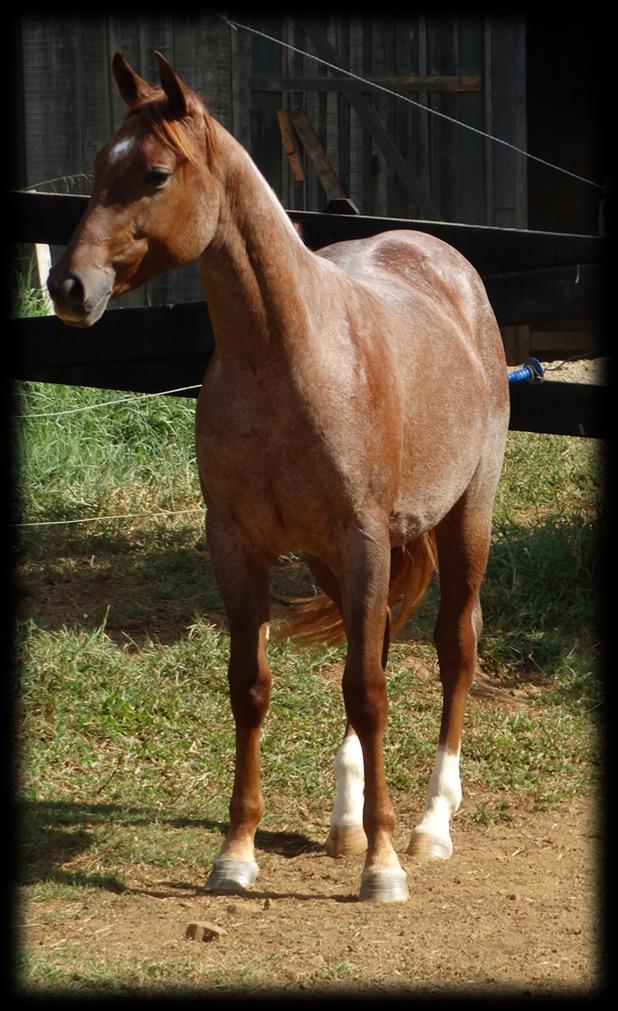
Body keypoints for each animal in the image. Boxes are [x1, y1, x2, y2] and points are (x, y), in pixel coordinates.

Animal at [48, 53, 509, 901]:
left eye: (155, 173)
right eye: (98, 167)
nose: (68, 286)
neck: (289, 358)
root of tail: (446, 261)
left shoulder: (363, 541)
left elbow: (370, 691)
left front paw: (383, 866)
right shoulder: (239, 545)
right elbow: (253, 686)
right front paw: (236, 851)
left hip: (466, 519)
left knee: (454, 648)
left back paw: (431, 823)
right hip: (336, 560)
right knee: (378, 643)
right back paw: (346, 816)